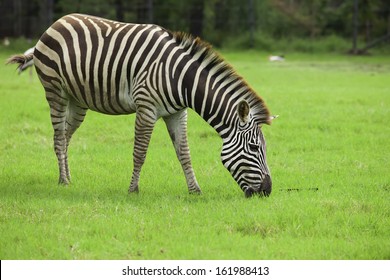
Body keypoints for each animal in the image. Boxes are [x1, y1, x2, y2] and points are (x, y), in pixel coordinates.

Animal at [6, 13, 276, 197]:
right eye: (254, 147)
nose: (267, 191)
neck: (181, 79)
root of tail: (57, 22)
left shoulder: (178, 113)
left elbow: (184, 153)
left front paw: (195, 190)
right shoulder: (146, 108)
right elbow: (140, 152)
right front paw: (133, 190)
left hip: (78, 100)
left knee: (64, 136)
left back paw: (68, 177)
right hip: (56, 91)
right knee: (59, 137)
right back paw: (63, 181)